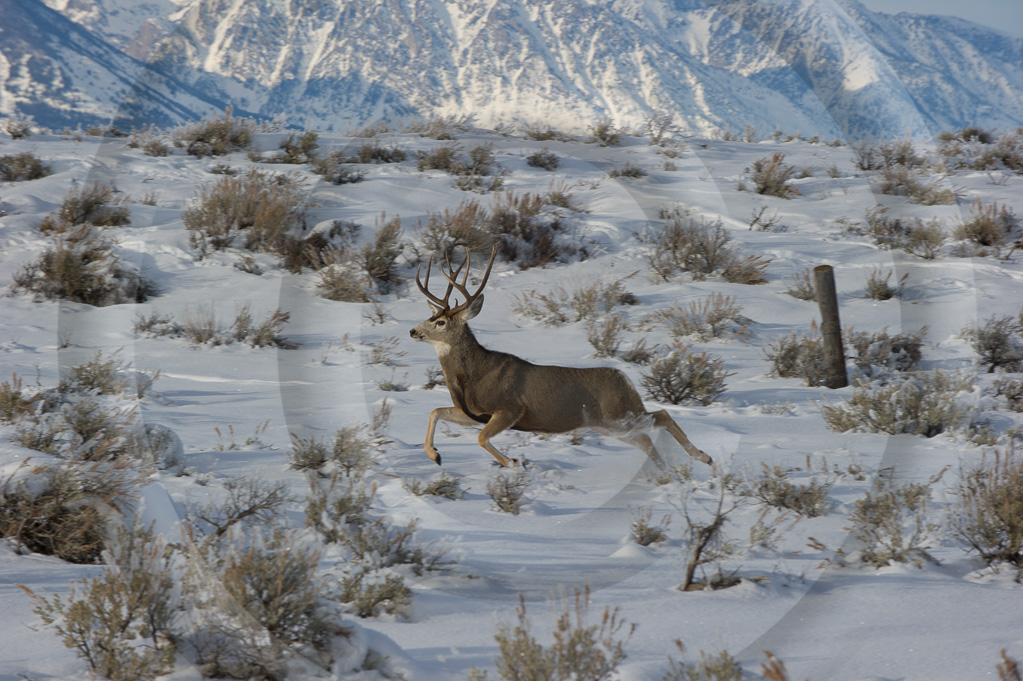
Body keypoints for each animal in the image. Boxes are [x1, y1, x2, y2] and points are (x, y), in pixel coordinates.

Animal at [407, 248, 712, 466]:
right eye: (430, 316)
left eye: (440, 323)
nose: (412, 330)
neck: (474, 376)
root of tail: (624, 378)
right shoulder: (475, 413)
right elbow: (436, 412)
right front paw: (435, 455)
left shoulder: (510, 408)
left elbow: (481, 439)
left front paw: (513, 462)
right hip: (609, 425)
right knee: (647, 439)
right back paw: (665, 473)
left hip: (619, 415)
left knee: (661, 415)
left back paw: (704, 458)